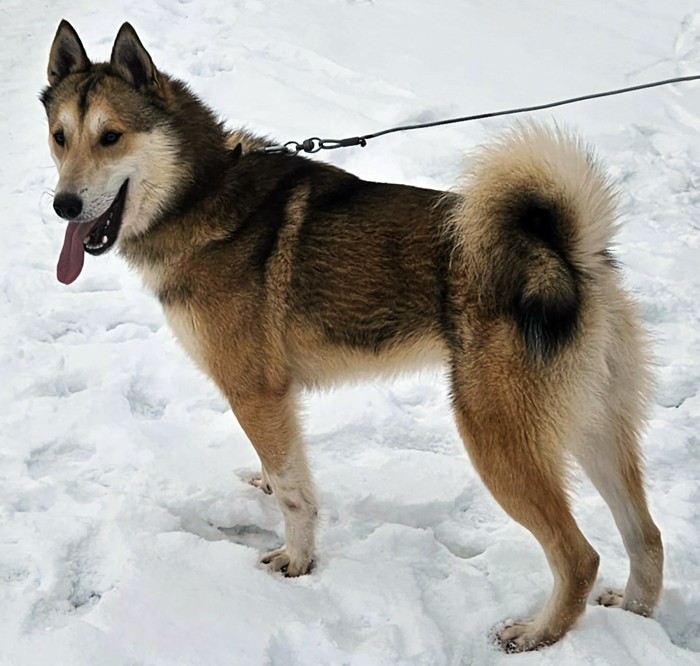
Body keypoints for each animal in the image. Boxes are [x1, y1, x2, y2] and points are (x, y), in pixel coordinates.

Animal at [42, 20, 663, 652]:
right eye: (60, 137)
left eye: (111, 136)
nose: (64, 205)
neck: (200, 190)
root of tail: (565, 255)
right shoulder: (273, 400)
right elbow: (283, 469)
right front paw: (265, 488)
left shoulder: (256, 391)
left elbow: (296, 495)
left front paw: (296, 562)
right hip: (595, 428)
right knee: (647, 536)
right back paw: (635, 610)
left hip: (496, 436)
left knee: (580, 556)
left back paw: (537, 634)